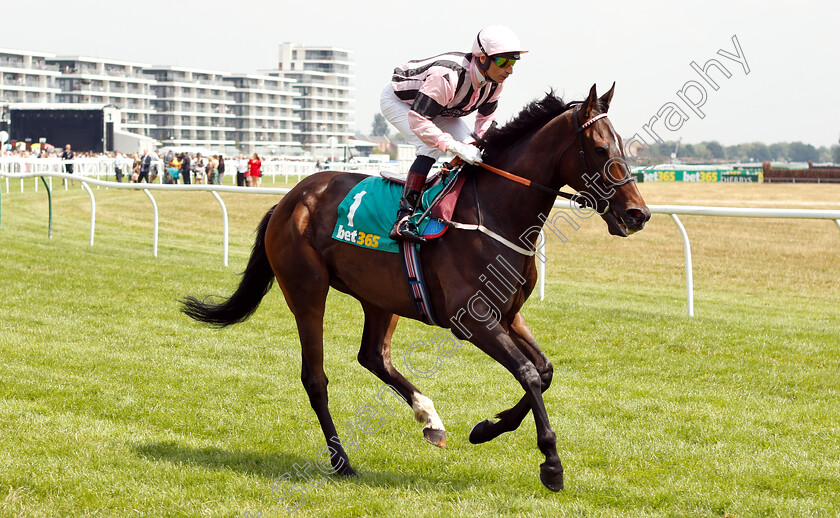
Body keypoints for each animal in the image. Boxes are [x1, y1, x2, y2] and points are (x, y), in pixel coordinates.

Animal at [182, 83, 648, 494]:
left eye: (623, 147)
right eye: (601, 149)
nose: (638, 214)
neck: (496, 213)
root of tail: (289, 199)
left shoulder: (509, 313)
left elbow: (544, 370)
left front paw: (486, 428)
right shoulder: (472, 319)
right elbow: (529, 373)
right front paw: (551, 465)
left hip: (379, 297)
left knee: (373, 356)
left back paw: (430, 419)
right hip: (306, 292)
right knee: (315, 378)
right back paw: (342, 461)